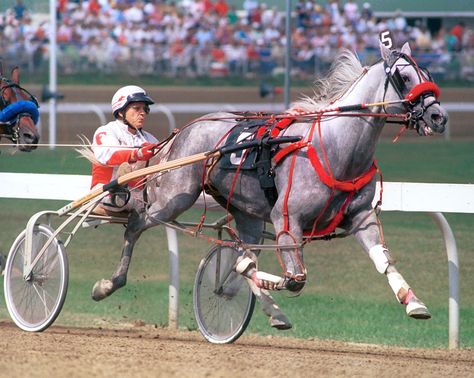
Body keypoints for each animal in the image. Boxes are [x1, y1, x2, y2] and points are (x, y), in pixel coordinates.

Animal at [90, 42, 448, 330]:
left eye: (427, 71)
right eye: (403, 76)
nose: (438, 117)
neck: (333, 148)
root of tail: (186, 128)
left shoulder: (361, 217)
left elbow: (383, 260)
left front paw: (413, 302)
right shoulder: (286, 220)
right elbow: (295, 279)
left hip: (245, 212)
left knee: (242, 250)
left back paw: (269, 306)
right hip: (174, 198)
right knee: (136, 224)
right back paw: (108, 284)